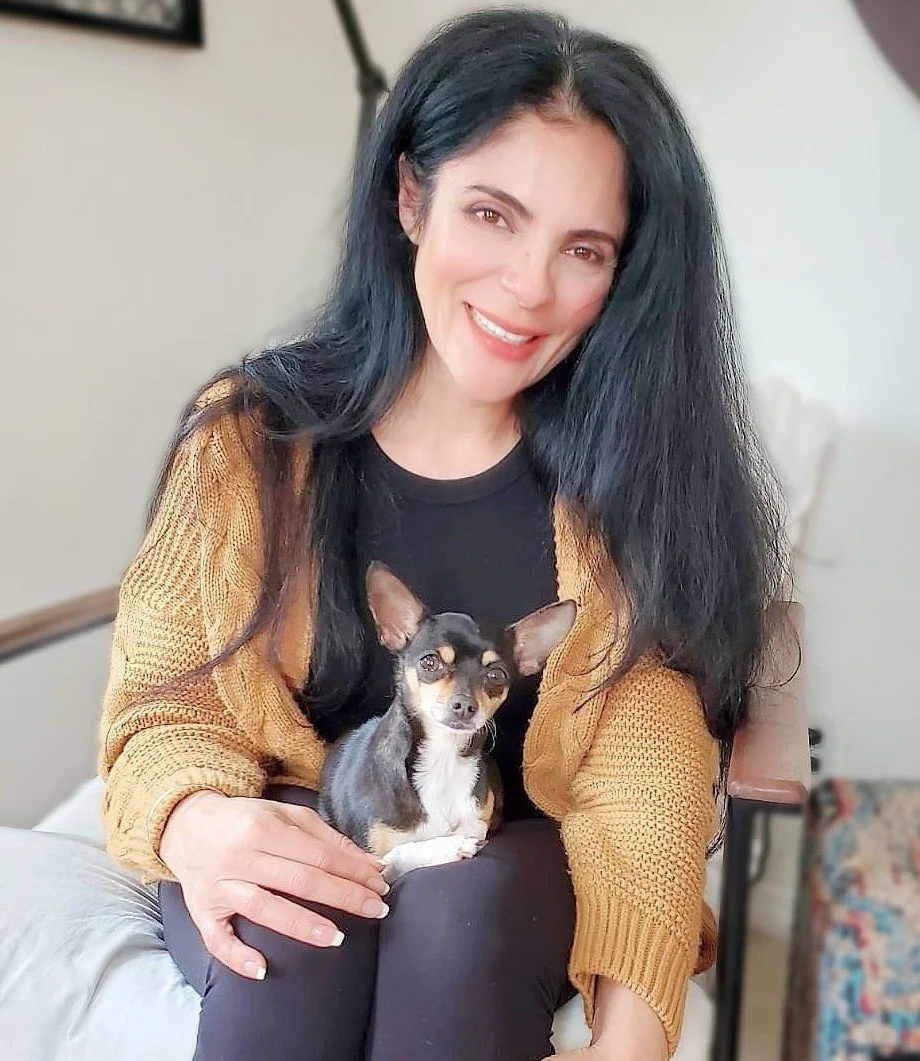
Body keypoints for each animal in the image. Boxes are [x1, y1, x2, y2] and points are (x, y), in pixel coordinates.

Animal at [318, 562, 576, 883]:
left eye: (496, 675)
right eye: (430, 662)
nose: (464, 705)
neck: (442, 758)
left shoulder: (476, 819)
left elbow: (469, 829)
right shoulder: (373, 866)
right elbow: (403, 851)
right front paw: (451, 846)